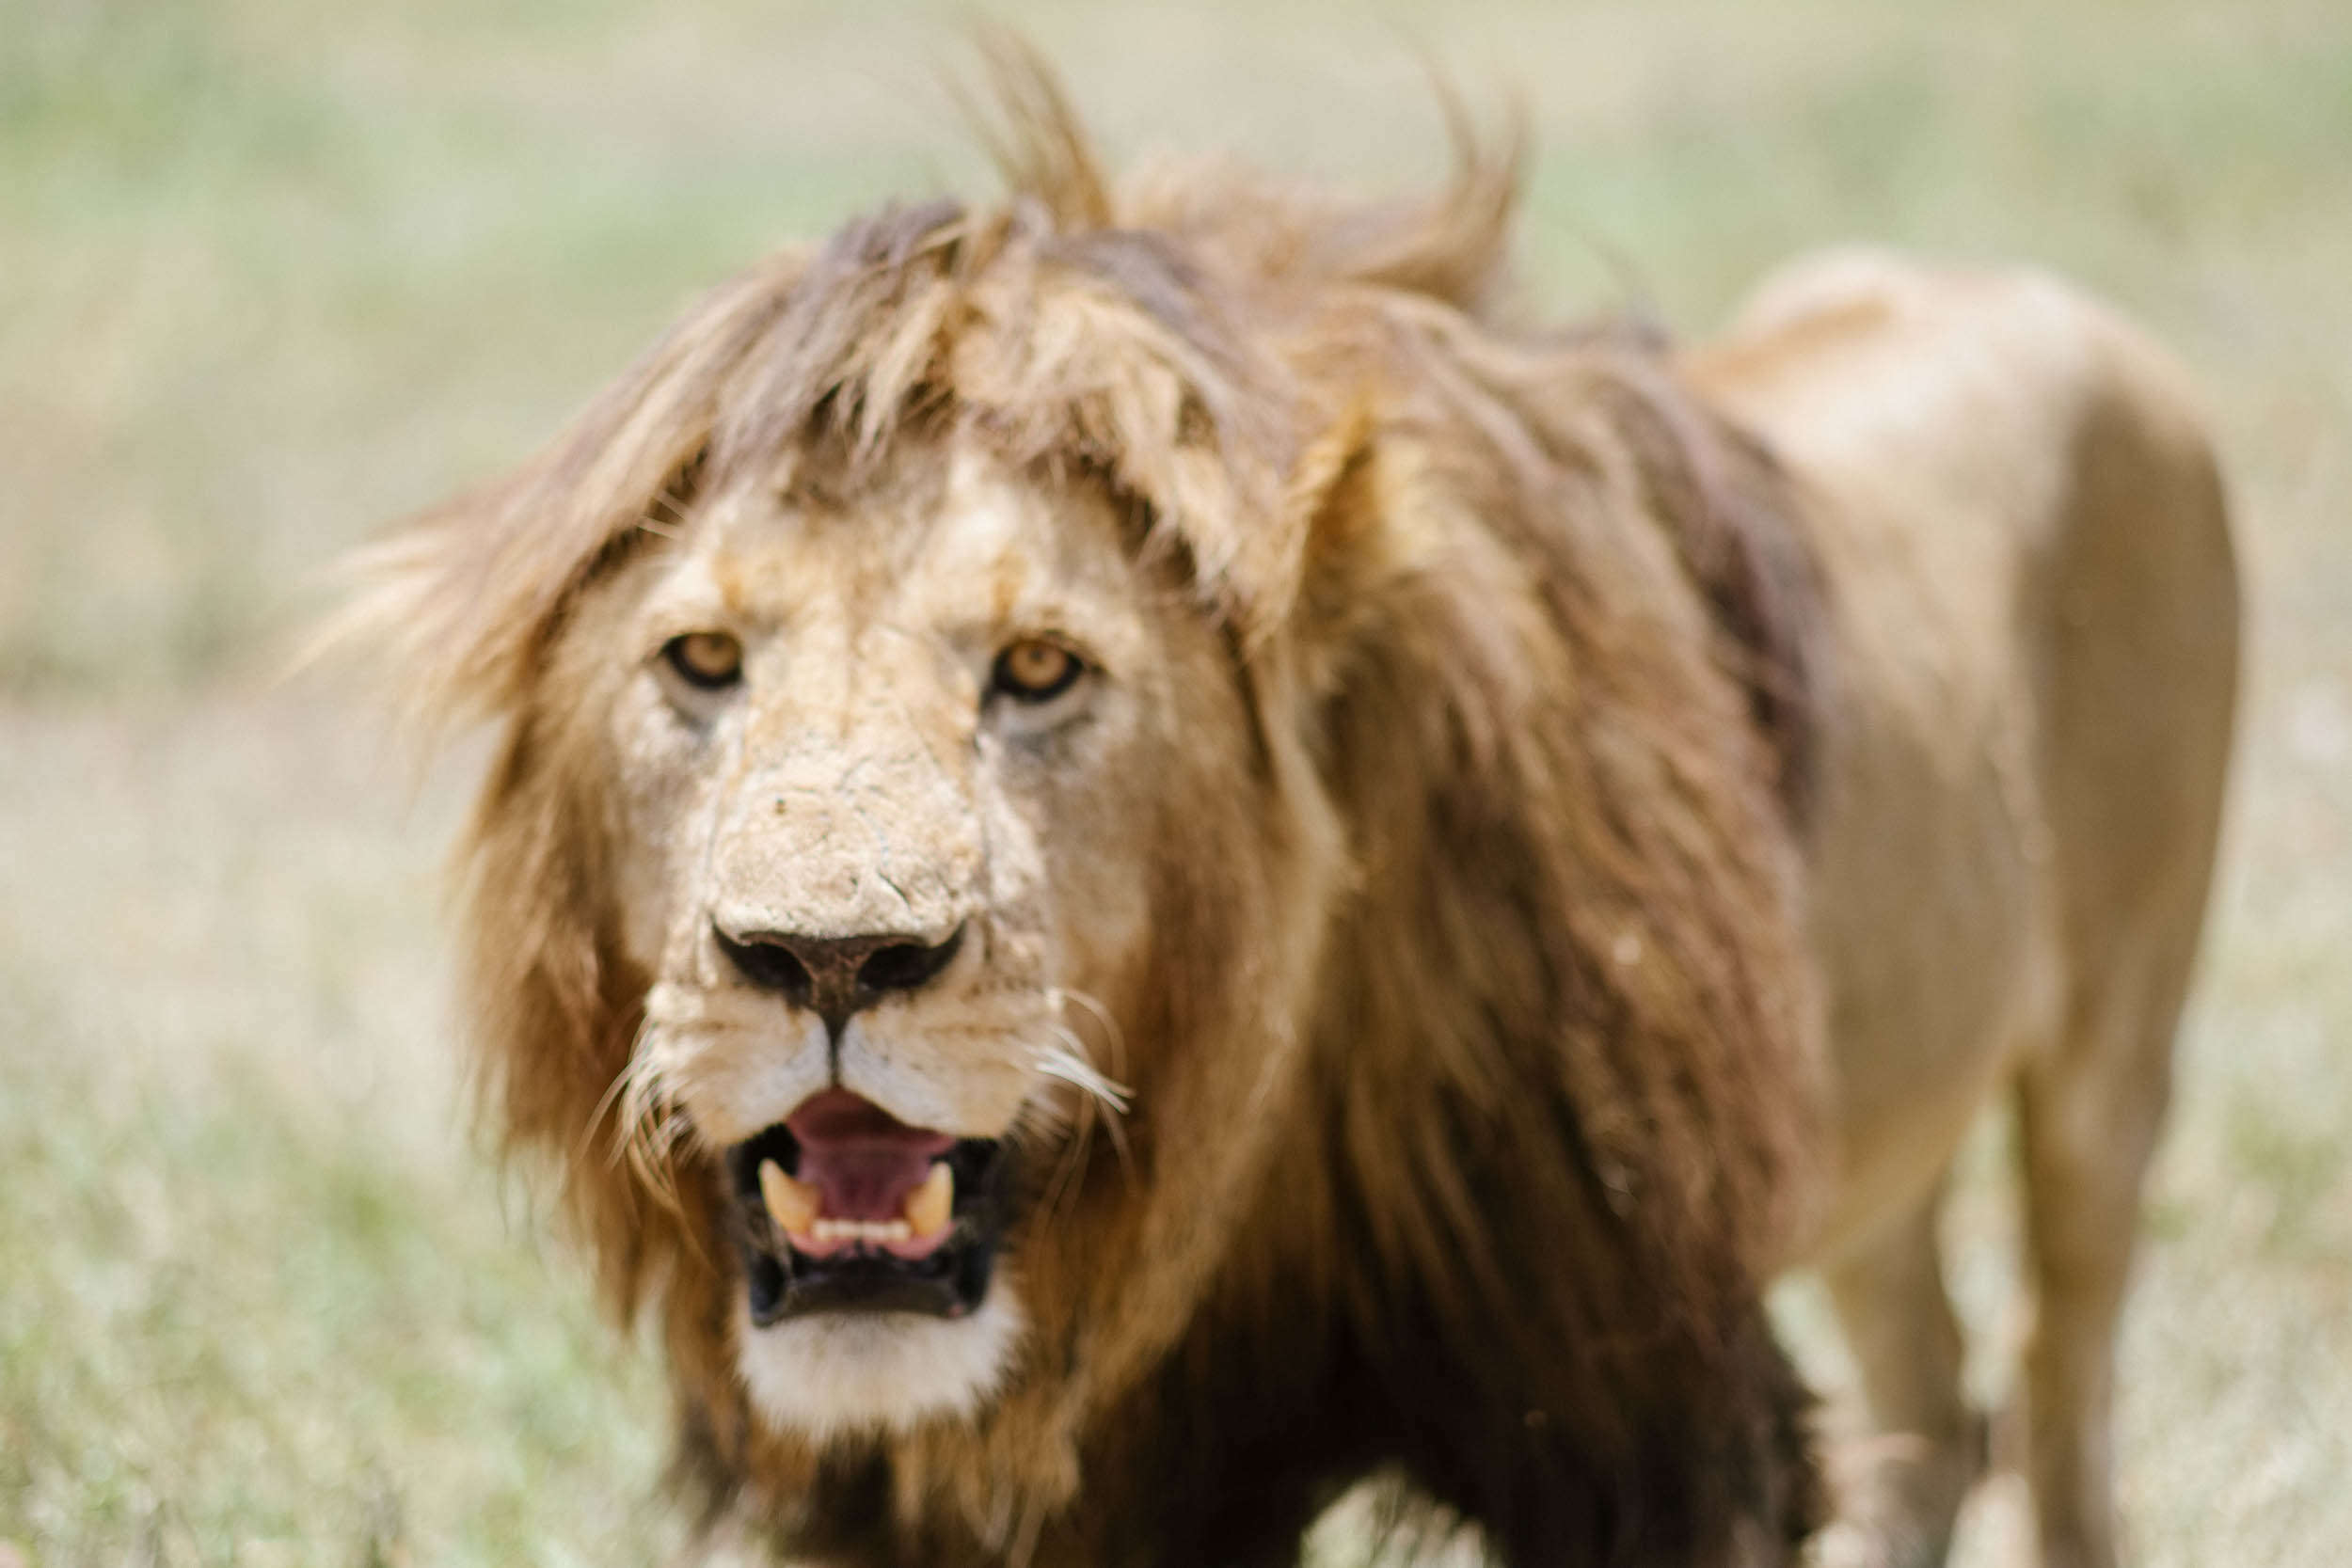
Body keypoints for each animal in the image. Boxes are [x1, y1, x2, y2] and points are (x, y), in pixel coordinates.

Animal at [353, 49, 2239, 1568]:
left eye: (1040, 667)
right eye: (702, 659)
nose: (826, 959)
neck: (1228, 1170)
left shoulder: (1640, 1421)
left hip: (2113, 1062)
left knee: (2059, 1389)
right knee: (1933, 1384)